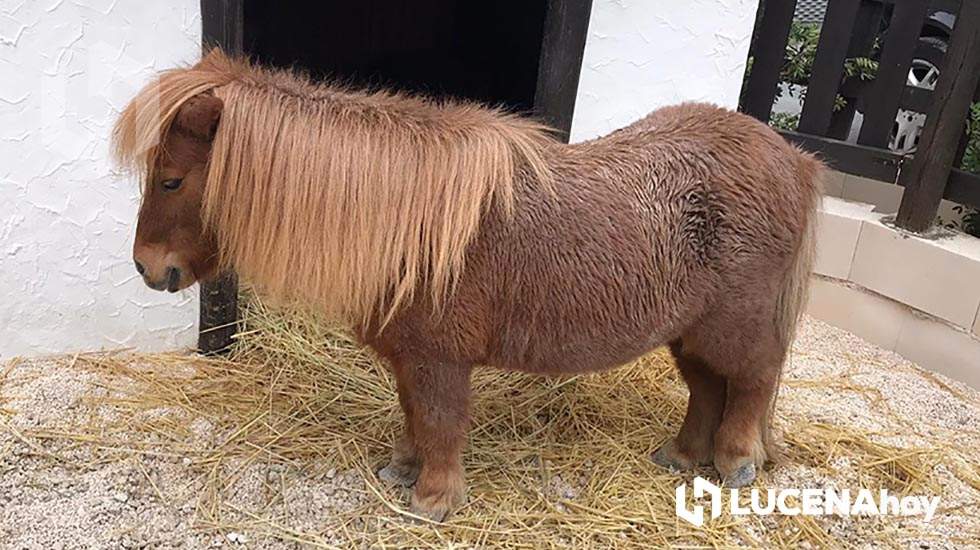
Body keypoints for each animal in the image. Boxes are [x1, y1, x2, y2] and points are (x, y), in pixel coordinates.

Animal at [113, 50, 820, 520]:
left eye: (172, 179)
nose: (149, 268)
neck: (407, 222)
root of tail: (790, 157)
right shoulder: (411, 358)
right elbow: (414, 417)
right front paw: (403, 470)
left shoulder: (440, 360)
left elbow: (441, 421)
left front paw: (433, 498)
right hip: (689, 331)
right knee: (708, 388)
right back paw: (681, 457)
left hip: (735, 326)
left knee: (752, 383)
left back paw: (736, 463)